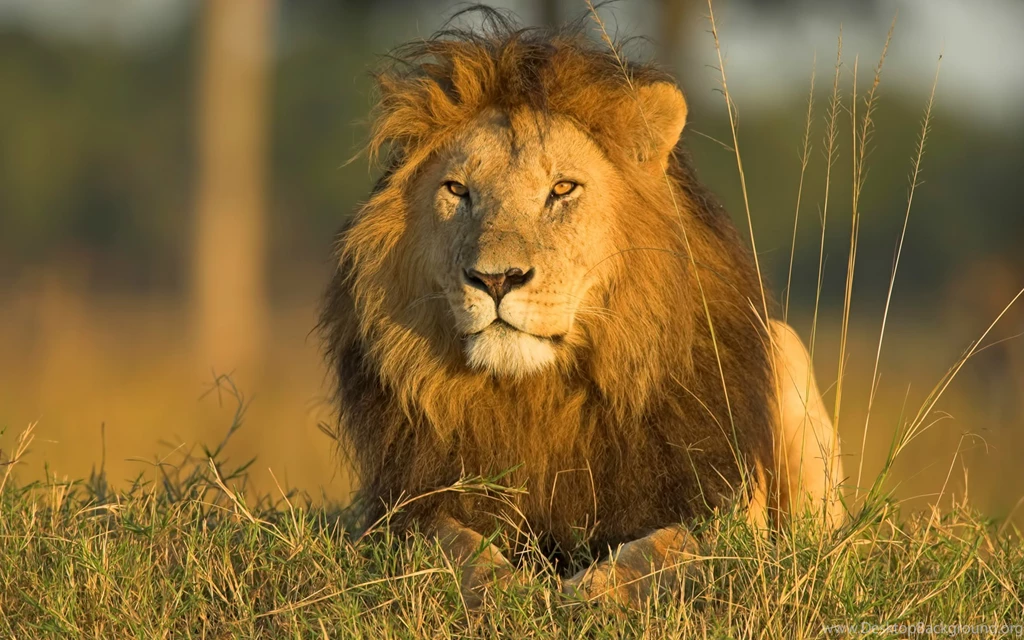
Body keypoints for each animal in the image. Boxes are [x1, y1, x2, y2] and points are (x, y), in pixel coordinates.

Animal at [320, 11, 844, 607]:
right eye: (457, 190)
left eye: (562, 188)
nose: (495, 278)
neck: (538, 396)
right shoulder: (406, 504)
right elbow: (450, 542)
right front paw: (506, 589)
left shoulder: (717, 504)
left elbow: (666, 548)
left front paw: (594, 592)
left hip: (786, 351)